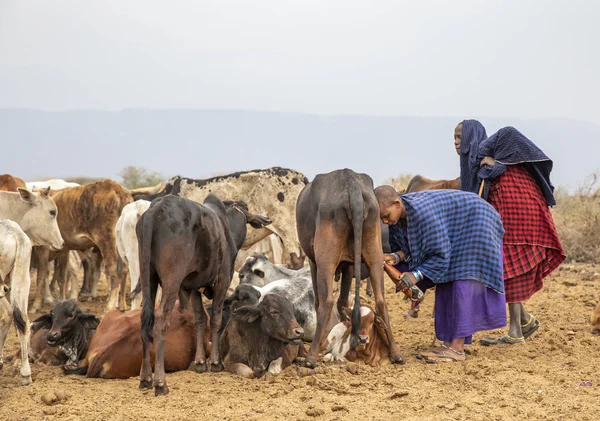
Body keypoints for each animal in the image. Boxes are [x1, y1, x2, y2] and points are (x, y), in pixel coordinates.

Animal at [32, 180, 133, 312]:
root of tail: (116, 189)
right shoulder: (64, 249)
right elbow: (62, 277)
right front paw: (60, 300)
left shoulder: (42, 248)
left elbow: (41, 275)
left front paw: (36, 305)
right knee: (125, 270)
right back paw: (122, 305)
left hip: (107, 242)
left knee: (114, 272)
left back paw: (110, 306)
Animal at [296, 169, 404, 366]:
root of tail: (350, 182)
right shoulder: (348, 265)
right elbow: (344, 302)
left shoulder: (314, 262)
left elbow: (322, 302)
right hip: (375, 256)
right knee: (381, 301)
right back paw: (396, 354)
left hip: (325, 262)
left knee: (326, 301)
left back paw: (311, 357)